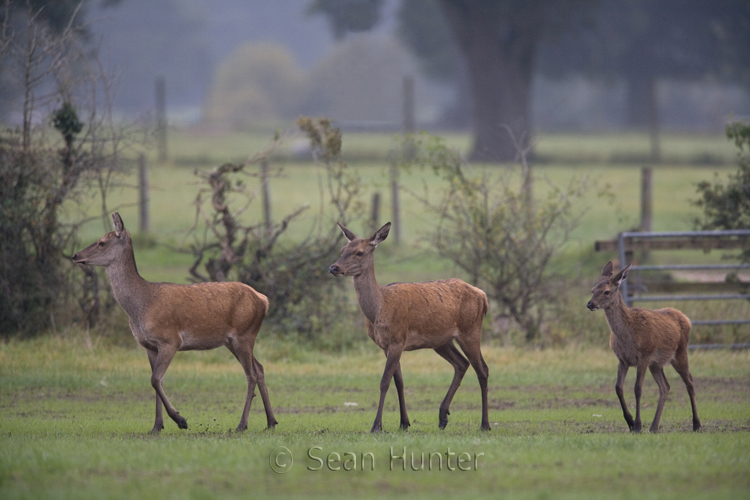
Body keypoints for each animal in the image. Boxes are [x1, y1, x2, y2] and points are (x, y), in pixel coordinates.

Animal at [72, 213, 280, 432]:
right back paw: (271, 421)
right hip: (232, 341)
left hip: (244, 335)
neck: (141, 306)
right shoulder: (148, 346)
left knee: (251, 375)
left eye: (101, 242)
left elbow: (155, 379)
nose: (75, 256)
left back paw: (242, 424)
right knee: (260, 368)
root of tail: (263, 300)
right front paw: (156, 426)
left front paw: (180, 420)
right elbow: (156, 381)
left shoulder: (170, 340)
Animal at [330, 221, 494, 432]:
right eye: (343, 249)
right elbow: (399, 381)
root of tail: (483, 296)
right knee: (461, 364)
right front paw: (404, 423)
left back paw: (485, 424)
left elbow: (384, 382)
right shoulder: (386, 345)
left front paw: (376, 426)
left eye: (359, 252)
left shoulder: (398, 339)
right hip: (441, 341)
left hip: (470, 330)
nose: (333, 267)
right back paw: (443, 417)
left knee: (482, 369)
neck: (378, 309)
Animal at [588, 262, 704, 434]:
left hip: (680, 352)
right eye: (593, 289)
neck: (627, 336)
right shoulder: (622, 359)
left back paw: (696, 424)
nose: (590, 304)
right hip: (656, 363)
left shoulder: (643, 356)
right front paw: (630, 422)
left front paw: (637, 425)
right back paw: (654, 426)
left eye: (606, 291)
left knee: (689, 381)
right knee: (665, 386)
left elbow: (638, 388)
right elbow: (618, 388)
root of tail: (686, 318)